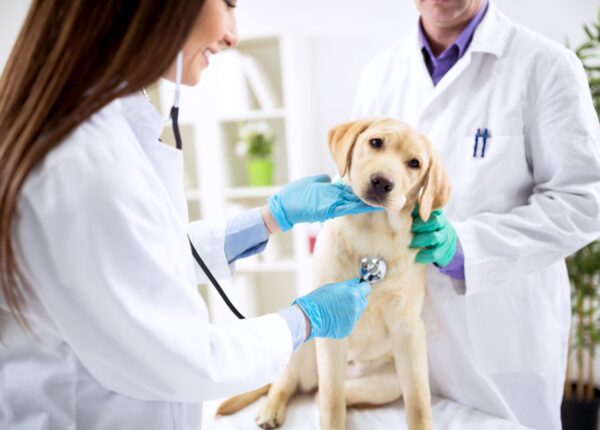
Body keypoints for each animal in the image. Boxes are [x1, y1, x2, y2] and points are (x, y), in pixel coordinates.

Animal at [218, 118, 448, 430]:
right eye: (375, 143)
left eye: (414, 163)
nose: (382, 181)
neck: (373, 233)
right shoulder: (329, 335)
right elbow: (331, 398)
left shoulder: (409, 332)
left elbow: (418, 402)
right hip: (304, 347)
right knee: (290, 384)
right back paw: (271, 409)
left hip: (387, 382)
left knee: (322, 394)